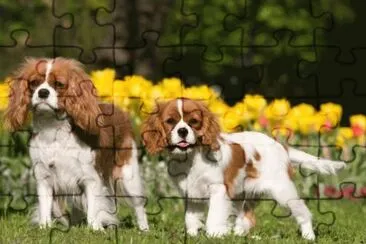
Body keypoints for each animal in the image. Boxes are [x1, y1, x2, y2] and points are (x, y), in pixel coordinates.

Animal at [3, 57, 149, 231]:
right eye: (34, 83)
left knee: (138, 204)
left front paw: (95, 229)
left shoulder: (91, 178)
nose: (43, 92)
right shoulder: (44, 177)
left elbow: (93, 207)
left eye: (59, 84)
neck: (53, 129)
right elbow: (46, 205)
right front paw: (45, 227)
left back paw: (144, 228)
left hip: (127, 175)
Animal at [142, 98, 348, 239]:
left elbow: (214, 216)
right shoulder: (191, 193)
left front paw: (214, 234)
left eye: (193, 122)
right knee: (247, 218)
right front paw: (193, 234)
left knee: (303, 211)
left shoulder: (218, 189)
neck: (191, 157)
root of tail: (280, 145)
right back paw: (238, 234)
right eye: (170, 121)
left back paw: (308, 236)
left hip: (282, 190)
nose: (183, 131)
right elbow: (191, 217)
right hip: (247, 194)